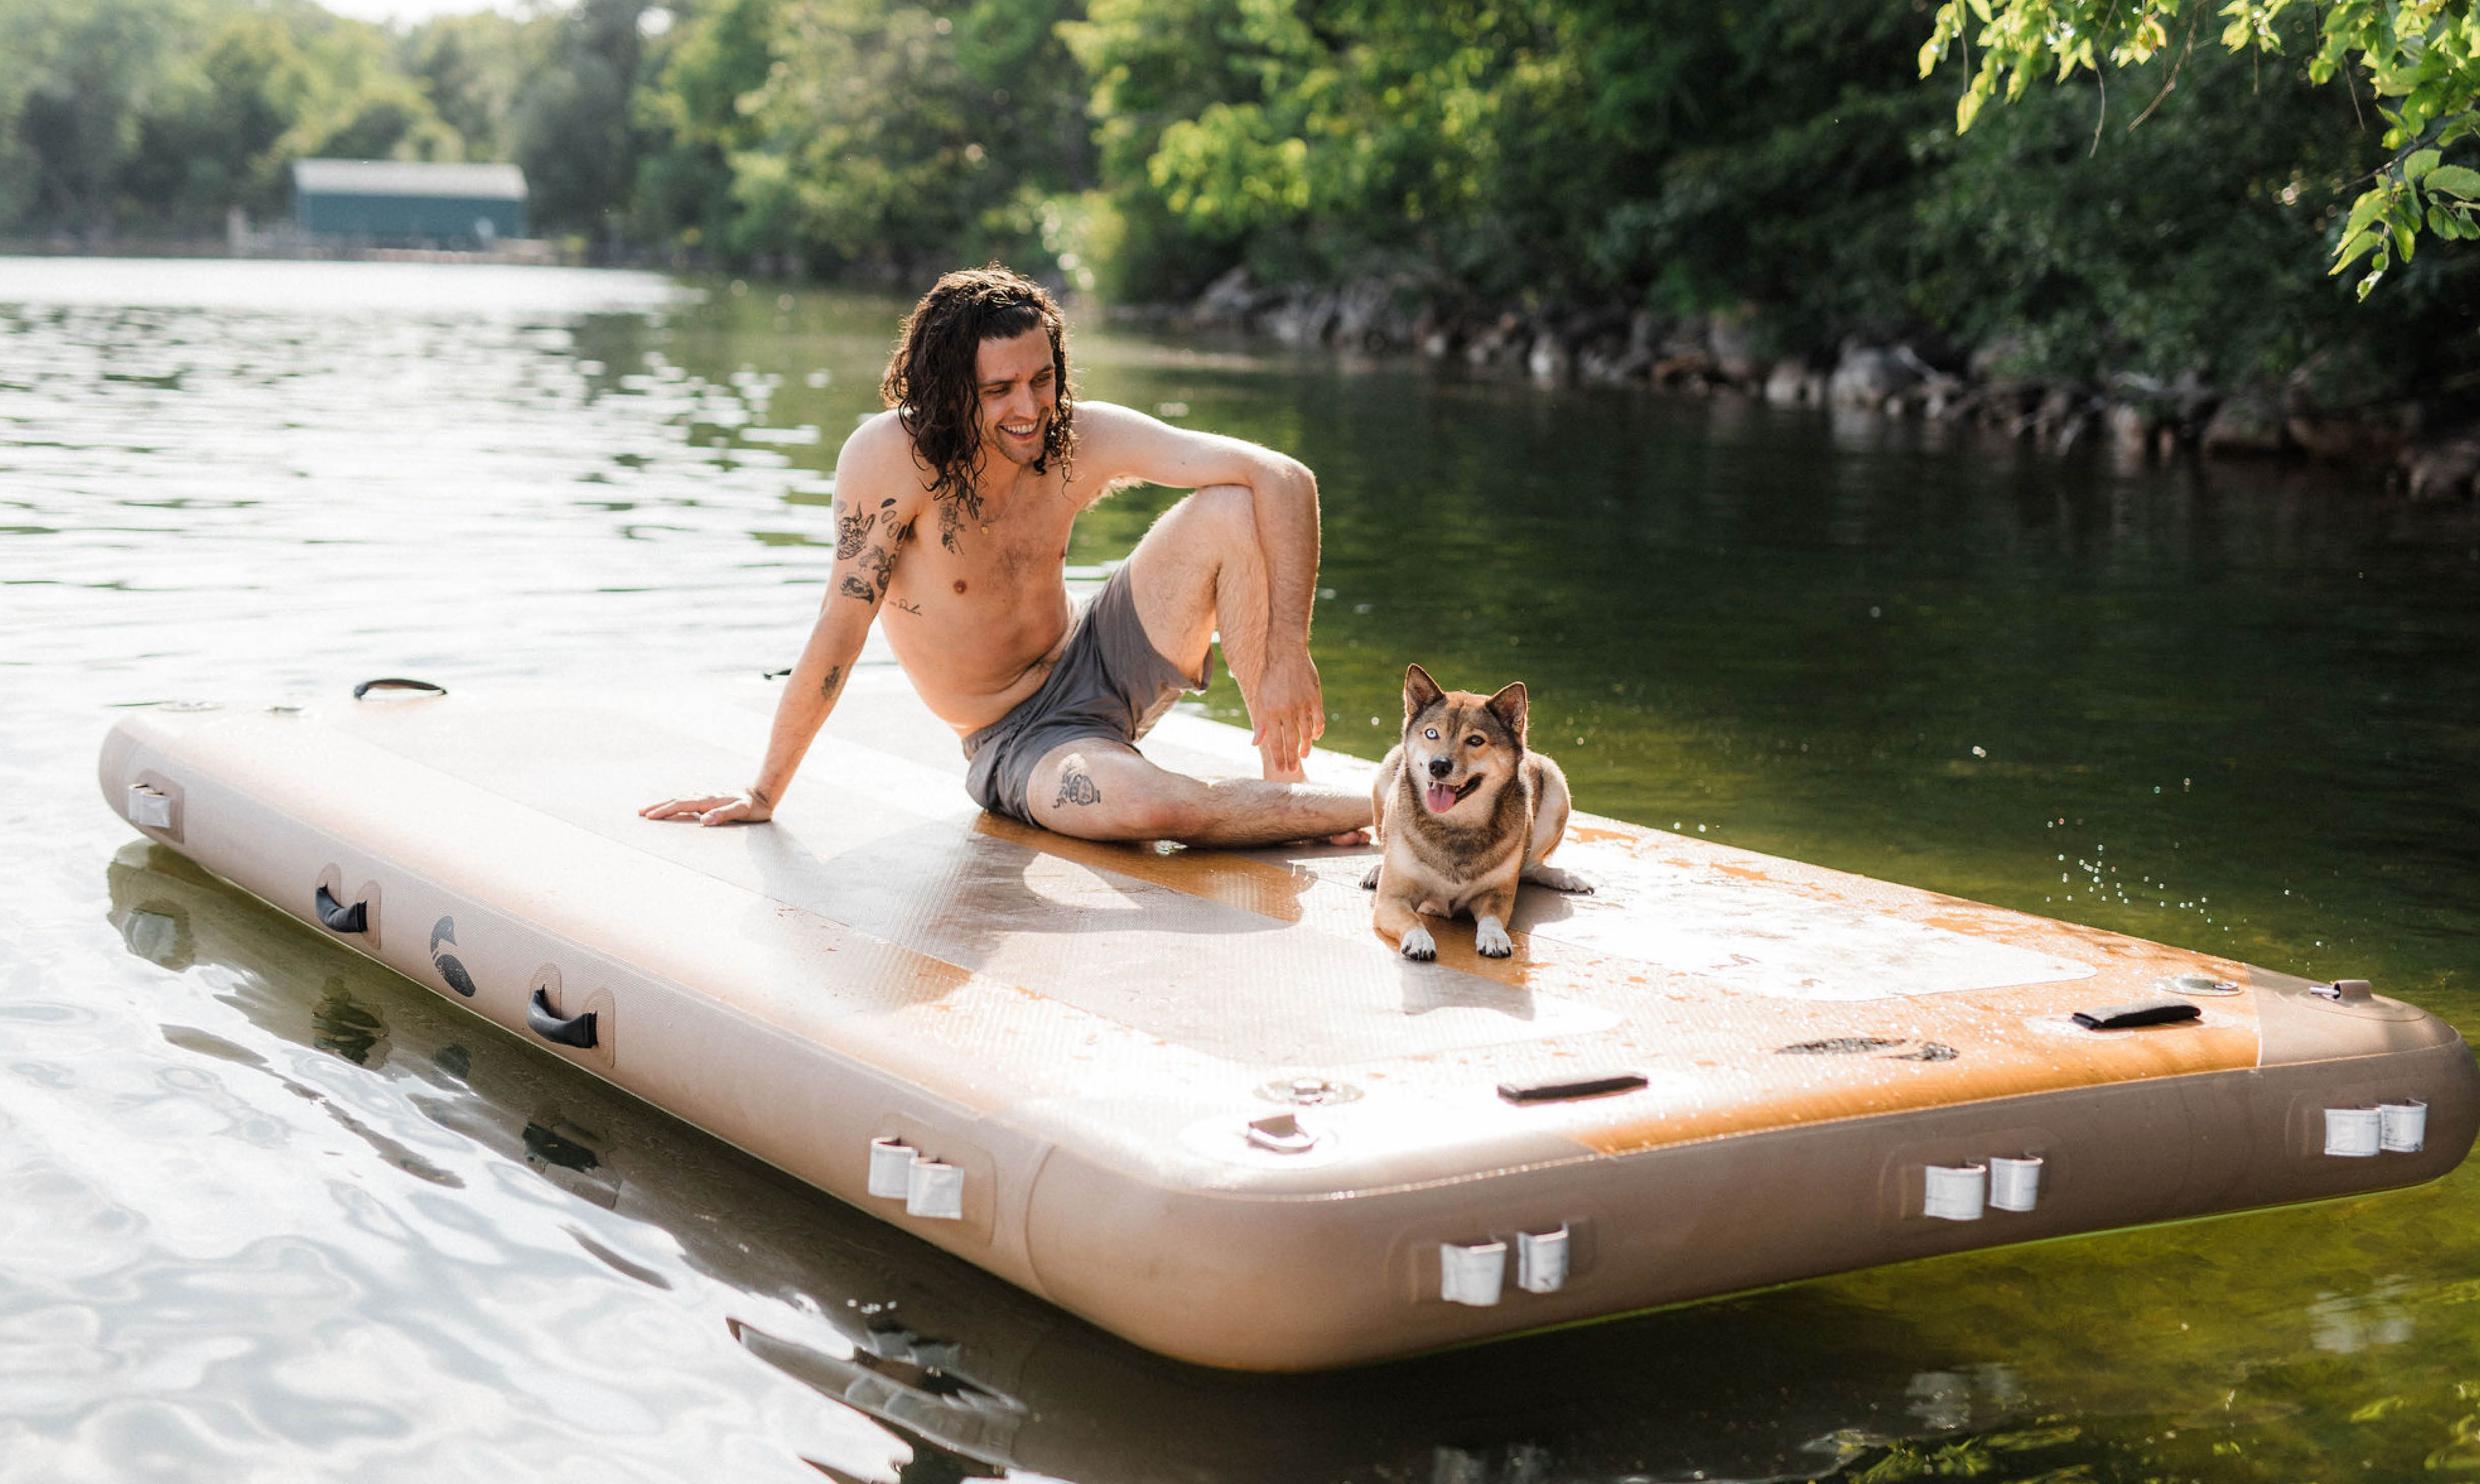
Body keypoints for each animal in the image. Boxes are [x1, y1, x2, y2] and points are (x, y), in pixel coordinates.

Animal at [1359, 665, 1587, 968]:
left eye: (1476, 740)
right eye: (1431, 734)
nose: (1438, 765)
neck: (1457, 825)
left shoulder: (1497, 895)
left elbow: (1493, 918)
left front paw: (1495, 937)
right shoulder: (1391, 900)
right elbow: (1411, 918)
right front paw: (1419, 940)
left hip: (1556, 783)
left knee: (1531, 865)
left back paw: (1564, 877)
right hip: (1385, 772)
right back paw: (1377, 868)